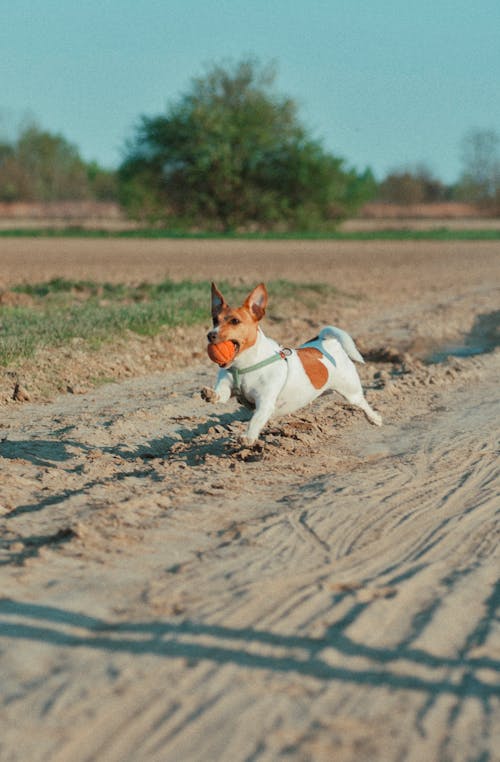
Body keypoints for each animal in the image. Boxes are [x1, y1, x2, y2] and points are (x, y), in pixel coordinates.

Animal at [201, 282, 380, 442]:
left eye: (235, 321)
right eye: (215, 320)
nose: (210, 335)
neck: (244, 366)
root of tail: (327, 341)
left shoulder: (265, 403)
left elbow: (256, 419)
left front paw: (248, 437)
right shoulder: (226, 388)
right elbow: (220, 395)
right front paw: (210, 394)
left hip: (350, 391)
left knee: (362, 402)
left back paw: (374, 418)